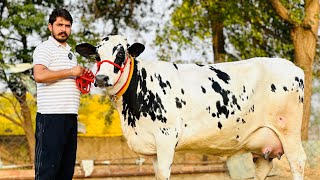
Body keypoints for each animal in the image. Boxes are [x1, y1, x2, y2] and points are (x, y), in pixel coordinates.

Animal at [75, 34, 308, 179]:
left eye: (121, 53)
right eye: (97, 55)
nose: (101, 78)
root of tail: (294, 67)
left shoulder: (166, 138)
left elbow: (165, 174)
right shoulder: (152, 148)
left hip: (289, 132)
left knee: (298, 162)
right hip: (263, 144)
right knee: (262, 169)